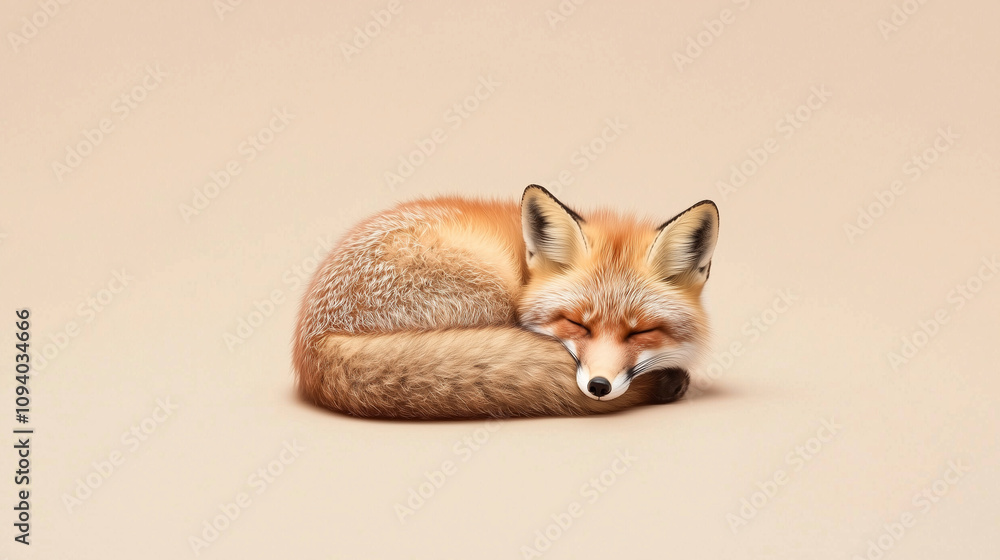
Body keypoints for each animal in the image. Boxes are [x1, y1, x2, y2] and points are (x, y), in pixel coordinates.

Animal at [292, 185, 719, 419]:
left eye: (641, 332)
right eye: (577, 324)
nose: (599, 386)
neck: (527, 270)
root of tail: (314, 343)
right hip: (492, 288)